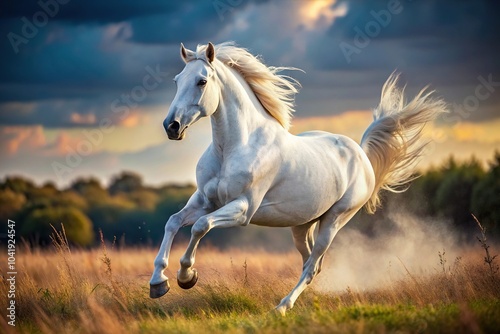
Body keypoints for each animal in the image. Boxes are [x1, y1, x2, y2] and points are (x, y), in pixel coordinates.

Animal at [148, 41, 446, 316]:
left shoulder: (243, 208)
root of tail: (360, 153)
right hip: (302, 226)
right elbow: (173, 222)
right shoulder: (204, 200)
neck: (235, 147)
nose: (171, 126)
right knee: (311, 262)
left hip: (334, 221)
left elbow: (200, 226)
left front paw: (186, 277)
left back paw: (282, 307)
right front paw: (158, 283)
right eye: (177, 80)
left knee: (312, 265)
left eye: (201, 81)